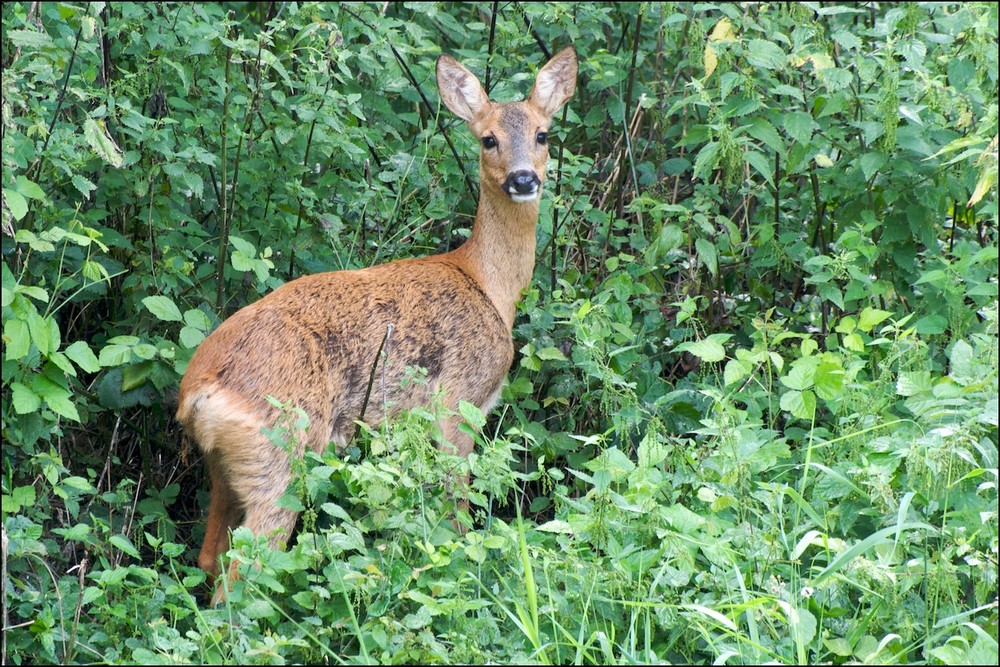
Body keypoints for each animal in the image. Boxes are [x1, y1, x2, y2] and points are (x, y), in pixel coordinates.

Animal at [176, 44, 576, 604]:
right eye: (488, 138)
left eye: (542, 133)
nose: (524, 180)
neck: (488, 285)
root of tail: (200, 391)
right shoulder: (457, 404)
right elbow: (456, 517)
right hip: (282, 454)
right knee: (242, 575)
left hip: (224, 468)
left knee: (209, 557)